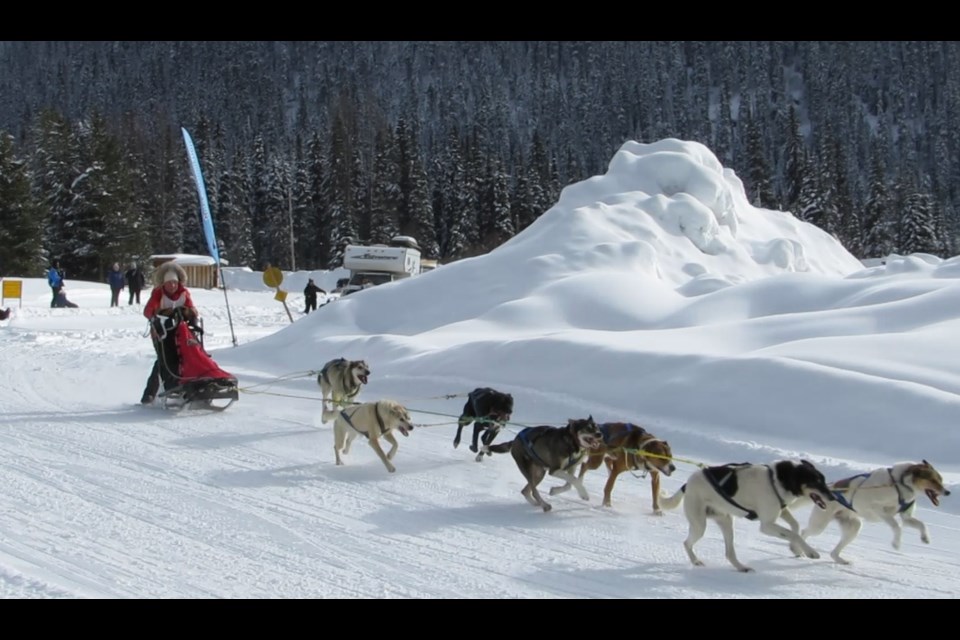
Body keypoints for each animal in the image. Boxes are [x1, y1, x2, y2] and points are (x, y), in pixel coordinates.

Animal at [660, 460, 832, 576]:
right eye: (816, 482)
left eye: (824, 480)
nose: (832, 497)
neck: (776, 480)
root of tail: (688, 483)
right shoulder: (767, 525)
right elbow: (794, 533)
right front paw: (810, 551)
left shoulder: (781, 511)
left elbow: (795, 526)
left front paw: (796, 549)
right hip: (699, 525)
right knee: (687, 543)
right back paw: (696, 561)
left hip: (726, 522)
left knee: (729, 553)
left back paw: (741, 567)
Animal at [804, 460, 952, 564]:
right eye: (933, 480)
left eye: (941, 480)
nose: (947, 492)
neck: (899, 484)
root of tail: (829, 489)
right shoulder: (879, 510)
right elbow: (897, 527)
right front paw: (896, 543)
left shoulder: (906, 517)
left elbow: (921, 524)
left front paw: (925, 537)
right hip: (819, 525)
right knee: (804, 532)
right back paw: (802, 549)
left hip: (854, 527)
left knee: (833, 552)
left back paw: (840, 560)